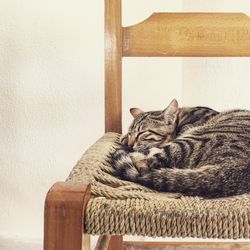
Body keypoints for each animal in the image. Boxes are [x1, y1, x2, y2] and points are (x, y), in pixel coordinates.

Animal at [113, 98, 250, 198]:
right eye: (130, 133)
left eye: (141, 133)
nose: (130, 144)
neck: (181, 118)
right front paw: (124, 138)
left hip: (191, 140)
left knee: (148, 163)